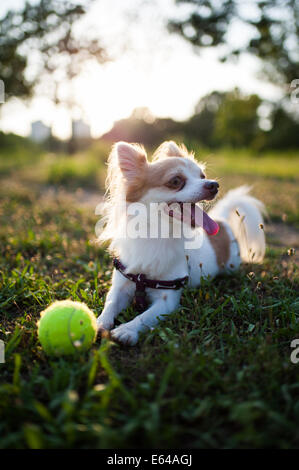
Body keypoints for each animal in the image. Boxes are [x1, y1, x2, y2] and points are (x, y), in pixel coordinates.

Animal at [95, 140, 264, 346]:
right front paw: (98, 322)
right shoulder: (121, 286)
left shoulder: (167, 299)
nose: (213, 184)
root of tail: (221, 220)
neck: (157, 233)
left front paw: (127, 329)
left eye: (202, 176)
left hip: (232, 265)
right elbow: (110, 304)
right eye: (175, 181)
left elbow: (144, 316)